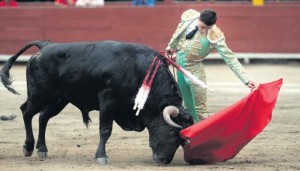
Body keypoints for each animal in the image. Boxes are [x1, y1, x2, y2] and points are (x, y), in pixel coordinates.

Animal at [0, 40, 193, 164]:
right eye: (172, 130)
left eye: (182, 140)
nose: (163, 160)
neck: (138, 69)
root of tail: (45, 46)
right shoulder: (107, 100)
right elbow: (105, 130)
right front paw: (101, 156)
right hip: (40, 94)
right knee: (26, 111)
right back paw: (28, 147)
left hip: (59, 99)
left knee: (42, 117)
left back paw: (42, 149)